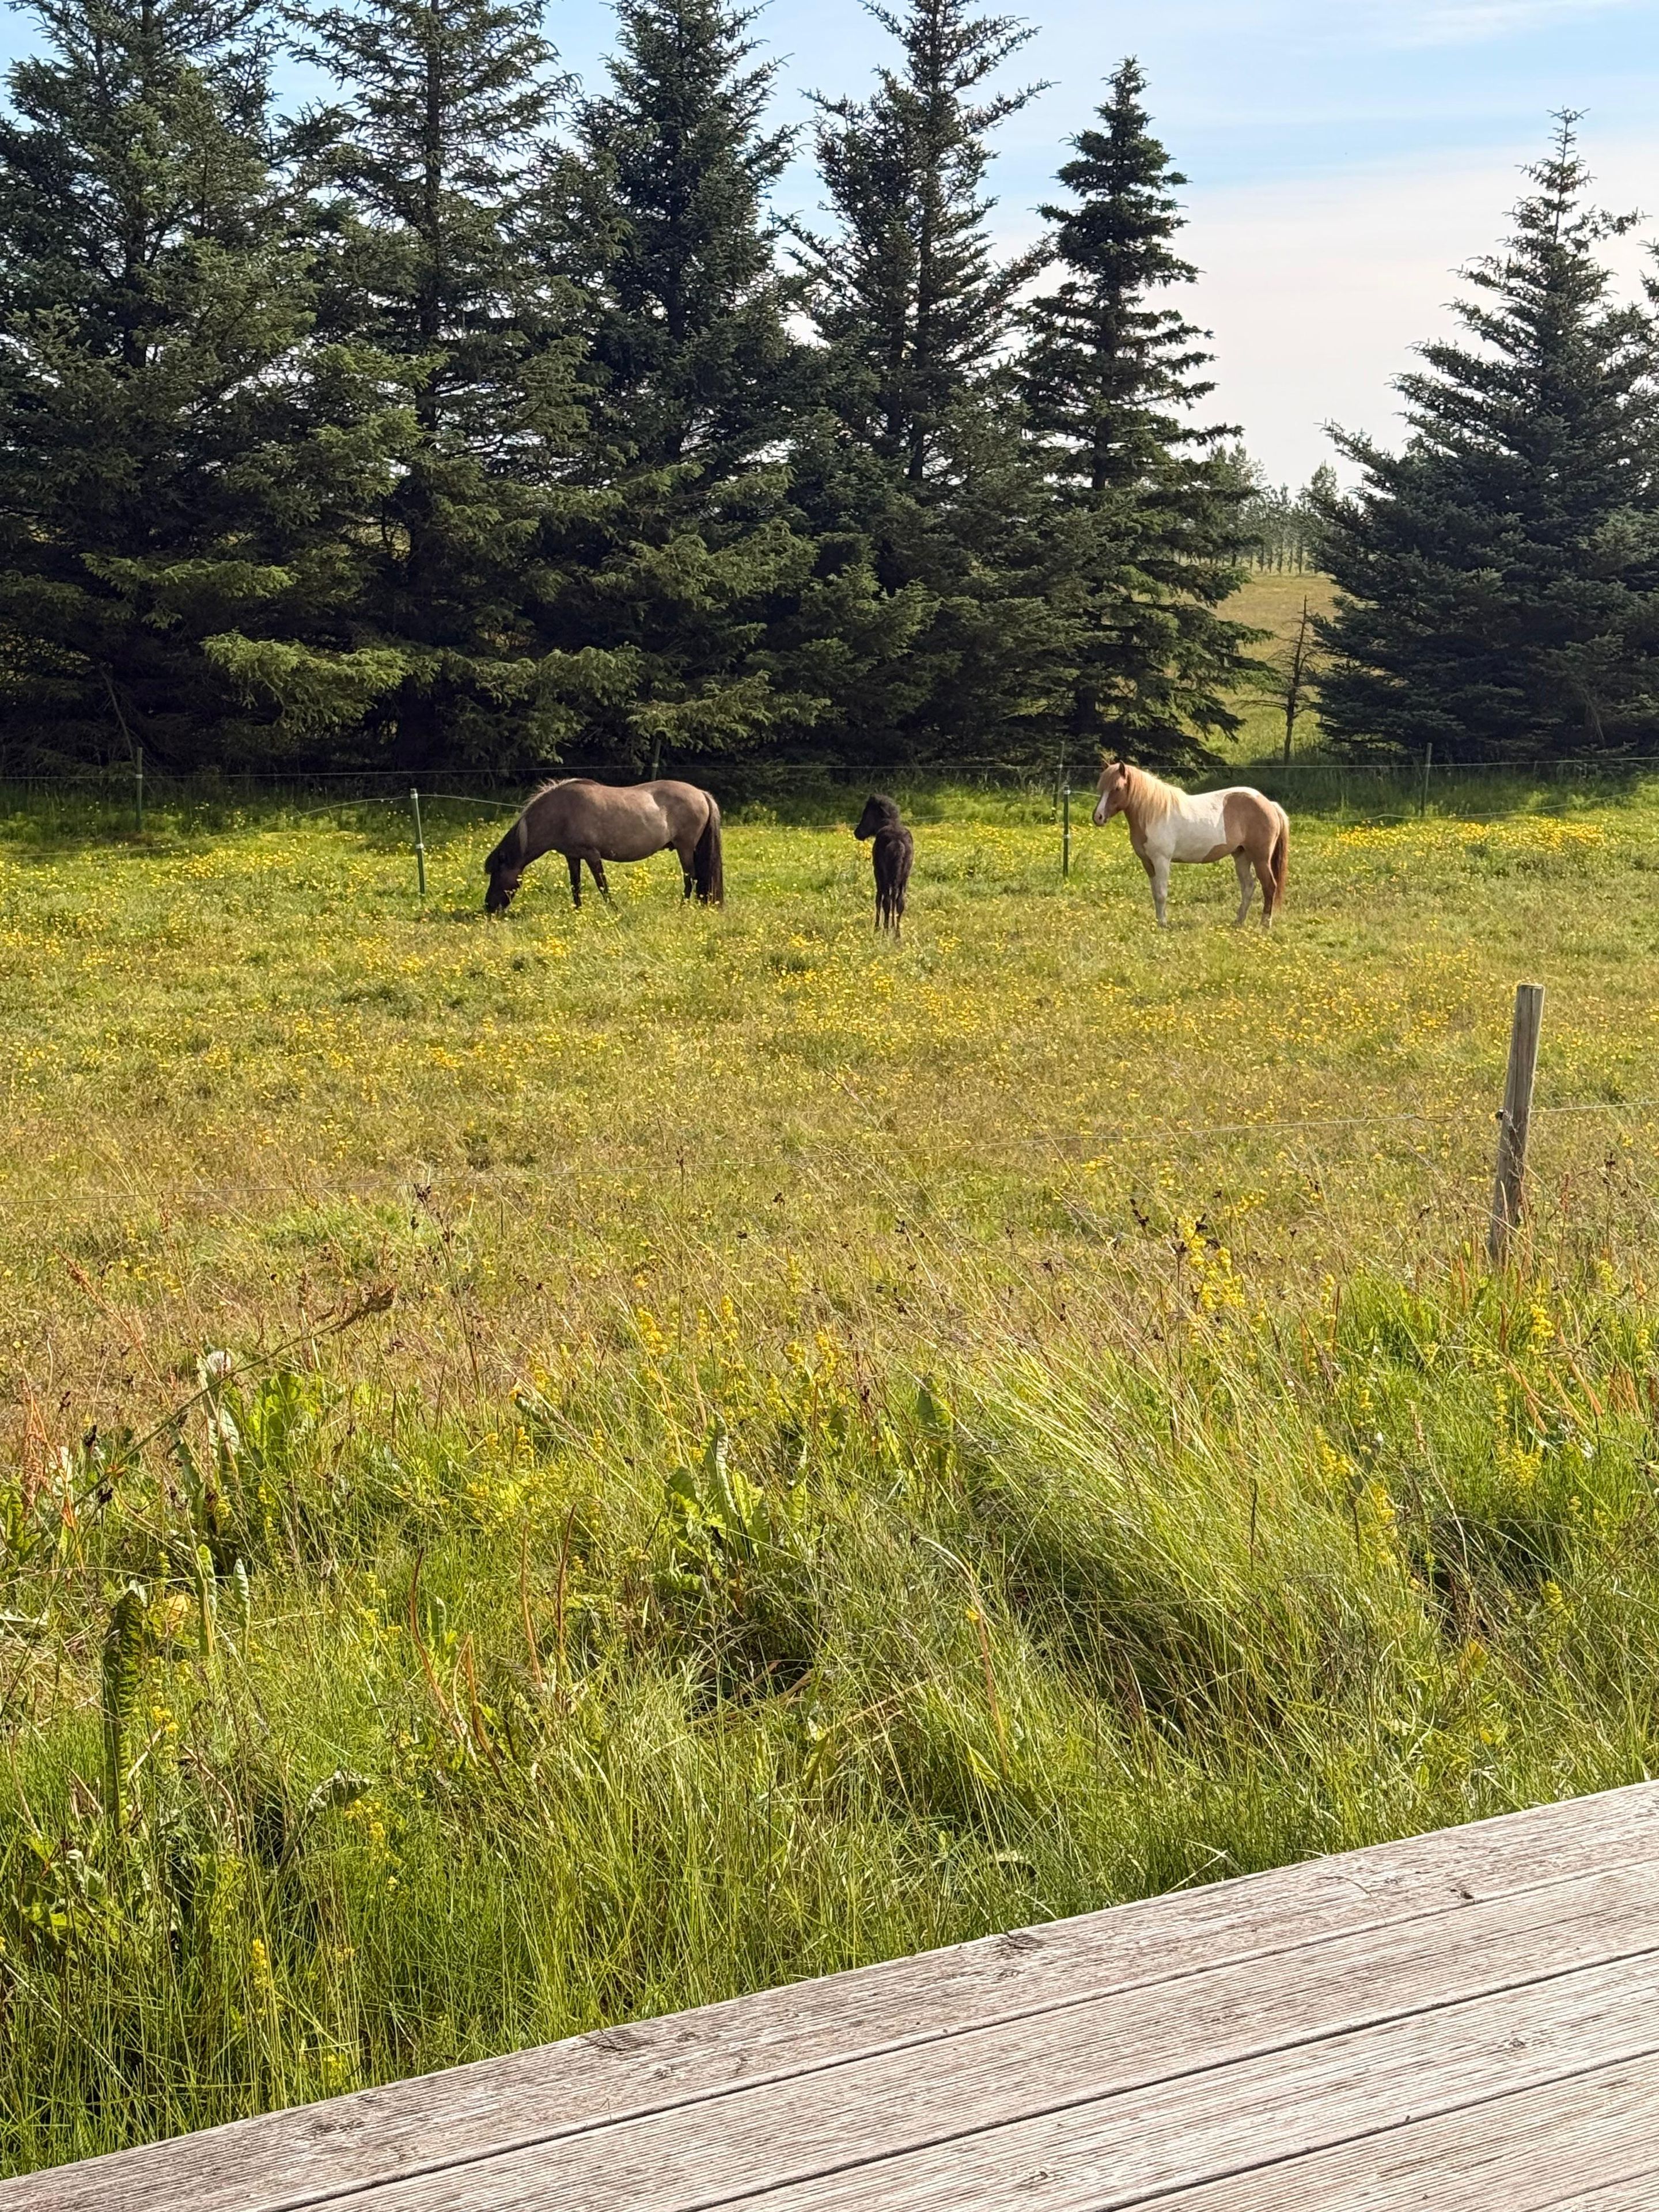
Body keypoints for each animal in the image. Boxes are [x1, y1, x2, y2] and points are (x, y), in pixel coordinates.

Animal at [483, 778, 723, 913]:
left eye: (496, 874)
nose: (488, 908)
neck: (561, 813)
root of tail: (701, 793)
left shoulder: (592, 855)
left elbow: (602, 885)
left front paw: (614, 910)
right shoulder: (573, 856)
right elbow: (576, 885)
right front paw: (578, 911)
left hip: (685, 848)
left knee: (691, 878)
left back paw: (682, 907)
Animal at [854, 795, 914, 936]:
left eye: (866, 813)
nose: (857, 833)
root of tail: (898, 842)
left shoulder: (877, 873)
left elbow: (878, 898)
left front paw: (876, 927)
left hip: (885, 875)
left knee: (886, 900)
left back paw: (886, 931)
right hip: (904, 877)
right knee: (900, 901)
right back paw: (897, 934)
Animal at [1093, 760, 1289, 928]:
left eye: (1117, 788)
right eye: (1101, 788)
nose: (1098, 817)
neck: (1153, 814)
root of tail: (1269, 804)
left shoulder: (1161, 860)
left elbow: (1162, 893)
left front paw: (1163, 924)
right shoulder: (1148, 862)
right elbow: (1155, 893)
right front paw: (1158, 922)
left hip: (1261, 858)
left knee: (1269, 886)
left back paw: (1265, 924)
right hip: (1242, 855)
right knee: (1248, 886)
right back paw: (1238, 921)